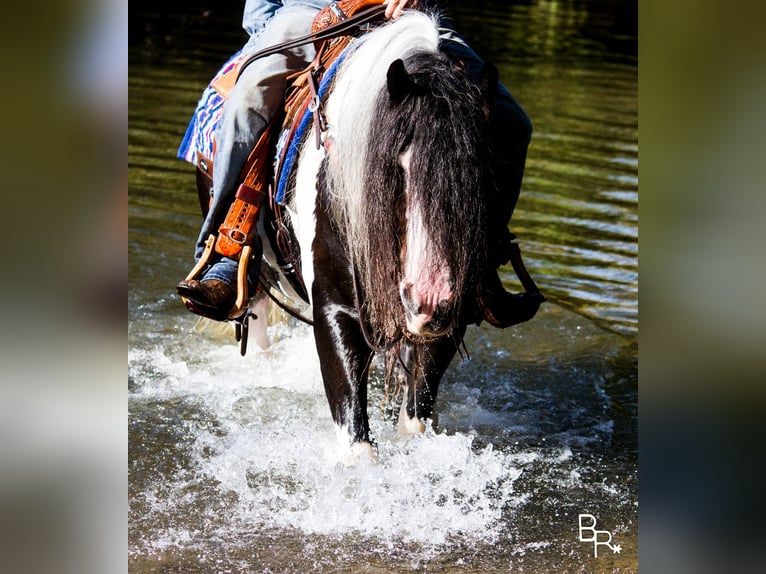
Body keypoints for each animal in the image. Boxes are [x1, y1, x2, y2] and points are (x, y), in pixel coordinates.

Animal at [268, 11, 498, 466]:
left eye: (475, 171)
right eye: (399, 164)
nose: (428, 303)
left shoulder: (450, 320)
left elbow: (416, 417)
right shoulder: (335, 305)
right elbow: (358, 442)